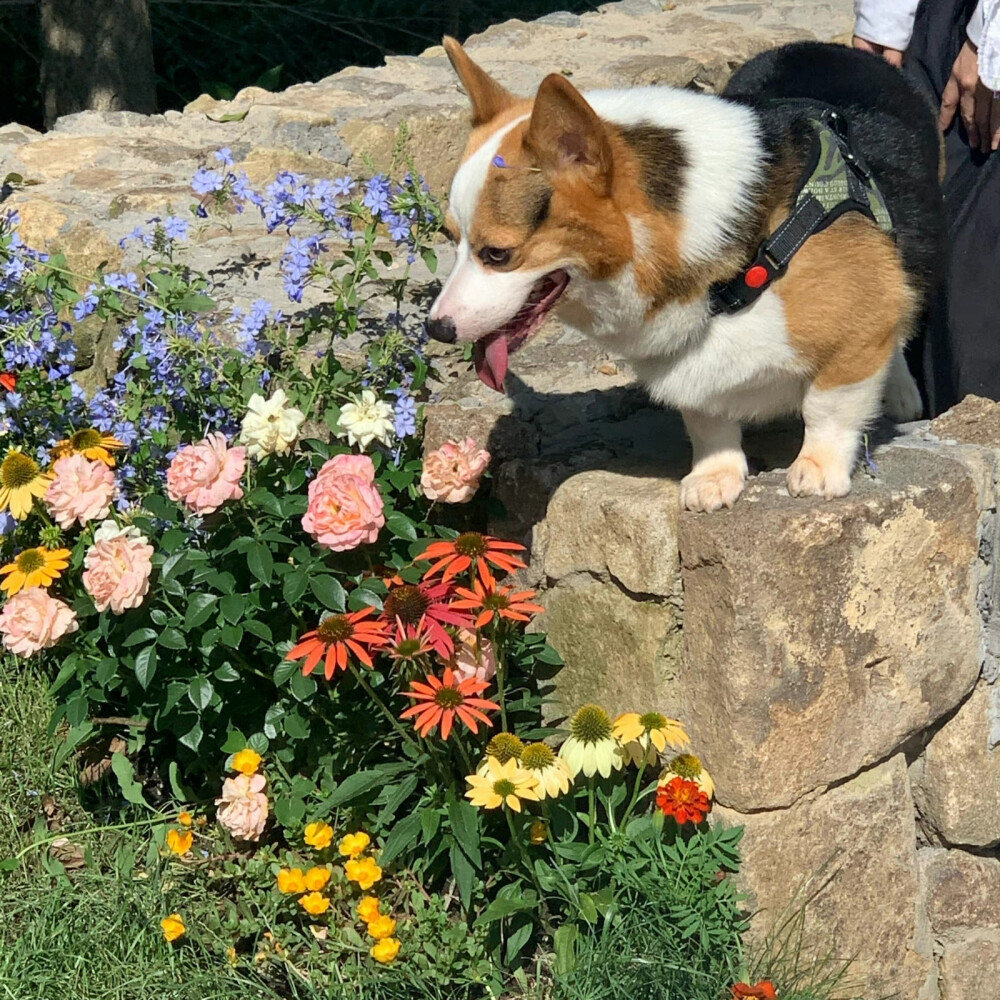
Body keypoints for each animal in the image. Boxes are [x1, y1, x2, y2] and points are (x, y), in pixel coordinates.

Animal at [428, 38, 944, 512]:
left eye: (497, 253)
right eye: (451, 237)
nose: (436, 329)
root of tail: (831, 47)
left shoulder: (859, 330)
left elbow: (828, 406)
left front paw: (816, 469)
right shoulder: (691, 367)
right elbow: (708, 422)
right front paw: (715, 477)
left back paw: (899, 390)